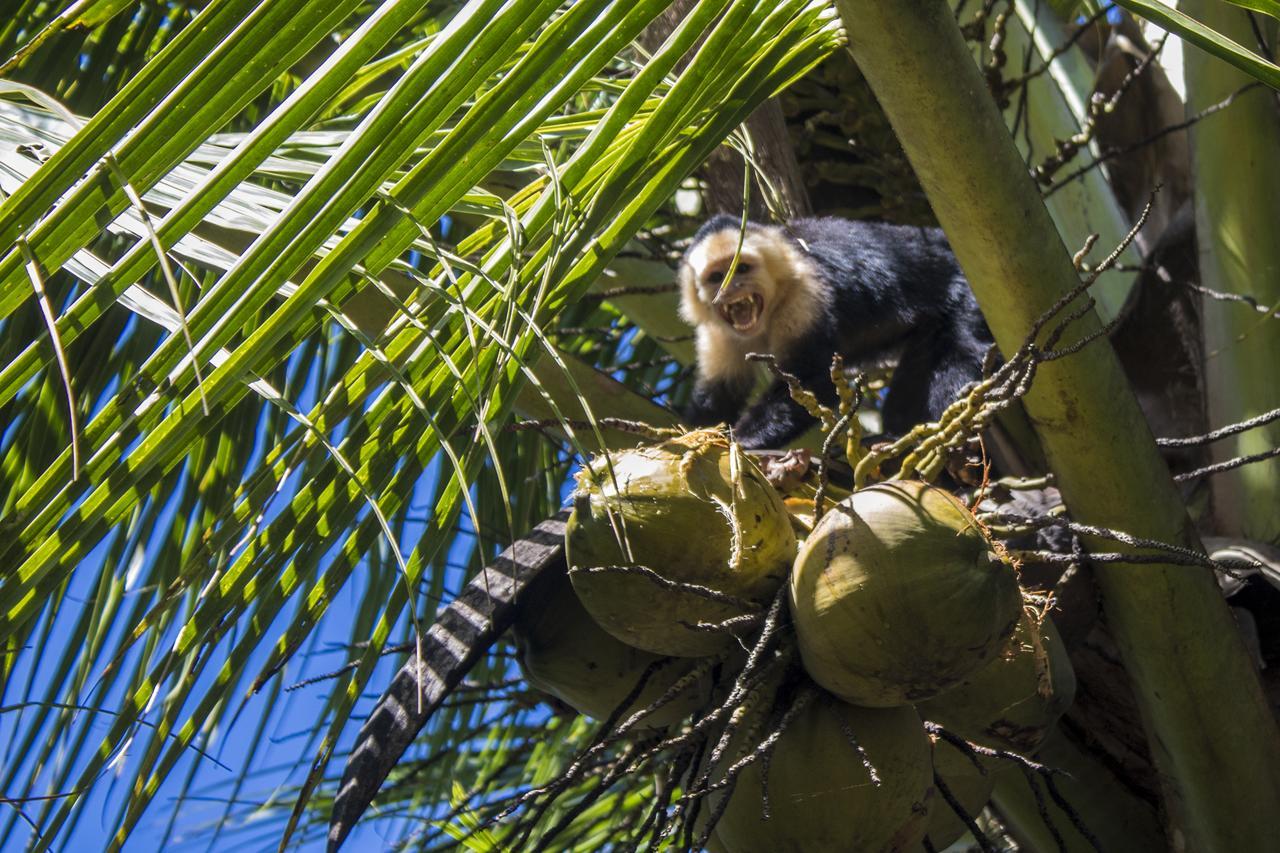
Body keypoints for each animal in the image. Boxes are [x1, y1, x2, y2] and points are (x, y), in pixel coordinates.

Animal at [680, 212, 988, 448]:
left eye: (742, 268)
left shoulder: (804, 298)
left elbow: (809, 381)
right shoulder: (716, 333)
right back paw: (897, 435)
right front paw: (693, 434)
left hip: (970, 288)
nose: (732, 286)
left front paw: (742, 441)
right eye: (717, 276)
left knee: (960, 351)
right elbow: (719, 394)